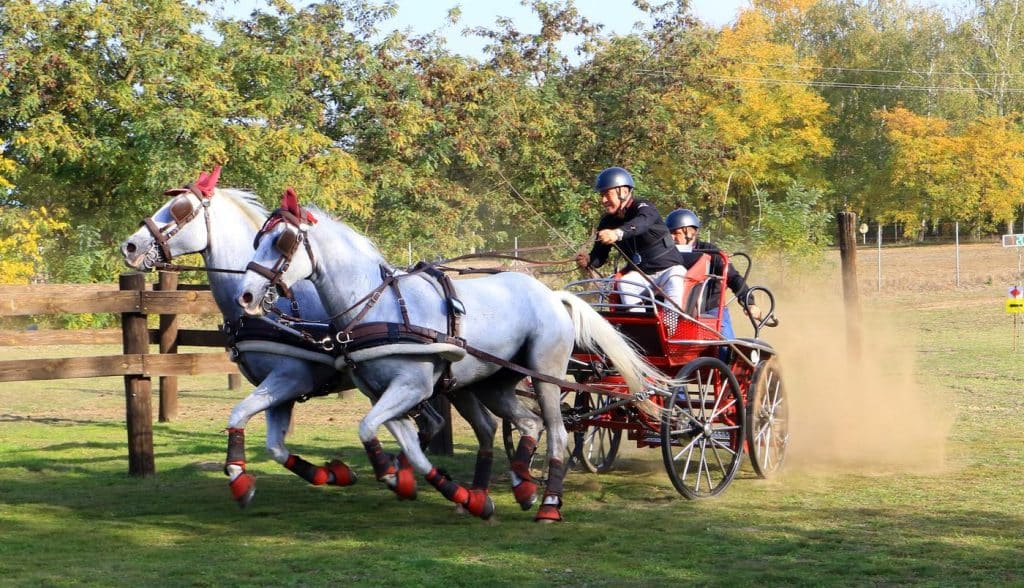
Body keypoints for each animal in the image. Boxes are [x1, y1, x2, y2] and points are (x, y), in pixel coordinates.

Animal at [119, 169, 499, 508]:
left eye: (180, 208)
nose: (130, 245)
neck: (274, 308)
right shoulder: (281, 390)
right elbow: (275, 447)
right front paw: (334, 473)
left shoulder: (290, 378)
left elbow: (238, 414)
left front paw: (239, 477)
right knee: (442, 423)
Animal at [235, 191, 667, 522]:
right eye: (257, 241)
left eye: (282, 242)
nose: (247, 296)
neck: (379, 306)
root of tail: (554, 295)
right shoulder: (382, 392)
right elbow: (402, 442)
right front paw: (446, 491)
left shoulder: (412, 387)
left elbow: (370, 429)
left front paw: (393, 475)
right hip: (495, 383)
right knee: (527, 424)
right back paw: (521, 486)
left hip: (545, 375)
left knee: (557, 433)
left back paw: (548, 503)